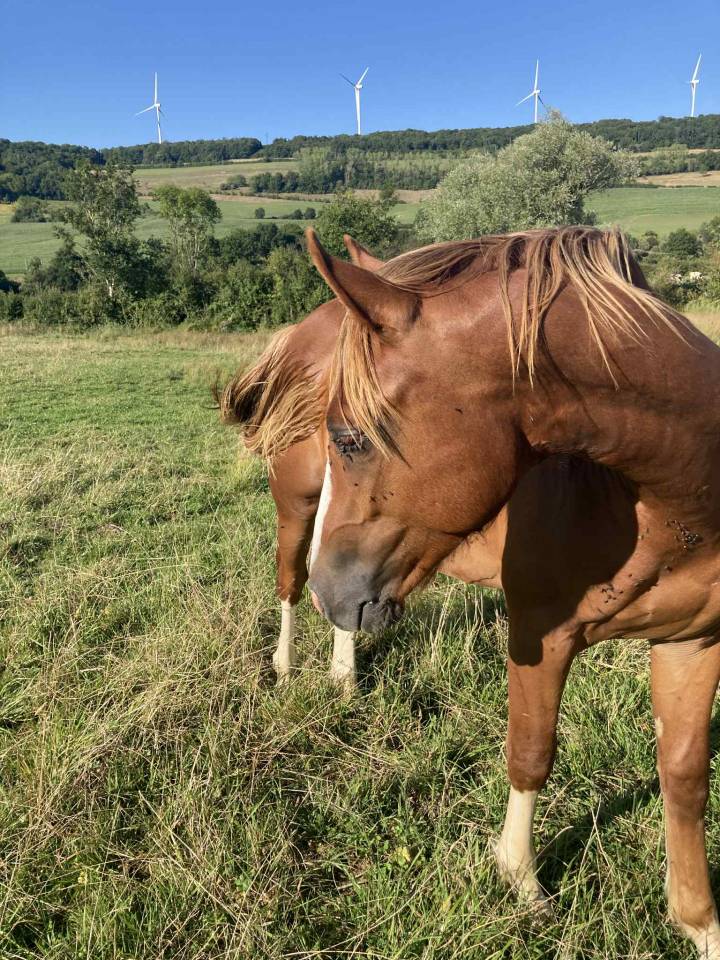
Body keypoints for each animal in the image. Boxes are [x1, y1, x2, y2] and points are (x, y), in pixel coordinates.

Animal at [306, 225, 720, 957]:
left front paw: (698, 923)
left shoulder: (694, 643)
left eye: (351, 439)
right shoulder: (540, 635)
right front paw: (522, 882)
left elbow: (685, 777)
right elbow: (531, 753)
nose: (329, 590)